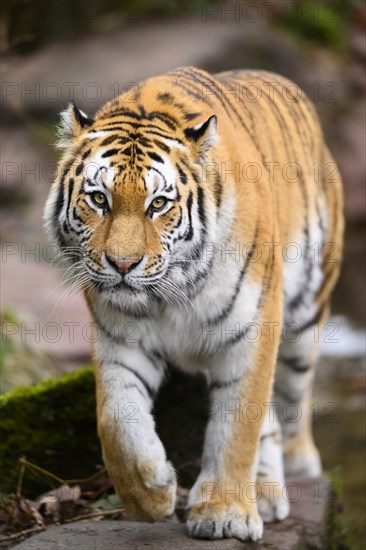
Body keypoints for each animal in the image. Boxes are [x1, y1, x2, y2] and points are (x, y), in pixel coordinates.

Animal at [43, 66, 344, 544]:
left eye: (158, 204)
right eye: (99, 199)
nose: (122, 264)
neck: (171, 293)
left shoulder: (252, 329)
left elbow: (237, 425)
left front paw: (225, 513)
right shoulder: (120, 338)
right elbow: (116, 421)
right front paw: (150, 493)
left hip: (306, 311)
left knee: (292, 399)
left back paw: (292, 470)